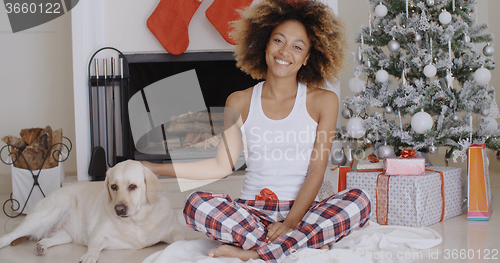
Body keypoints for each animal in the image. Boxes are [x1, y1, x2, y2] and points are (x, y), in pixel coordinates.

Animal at [0, 161, 184, 263]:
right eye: (113, 186)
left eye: (133, 186)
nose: (119, 209)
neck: (137, 221)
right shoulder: (99, 234)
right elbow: (94, 246)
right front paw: (89, 257)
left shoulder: (172, 231)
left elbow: (178, 238)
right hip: (46, 216)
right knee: (9, 236)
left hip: (65, 234)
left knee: (45, 238)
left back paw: (41, 247)